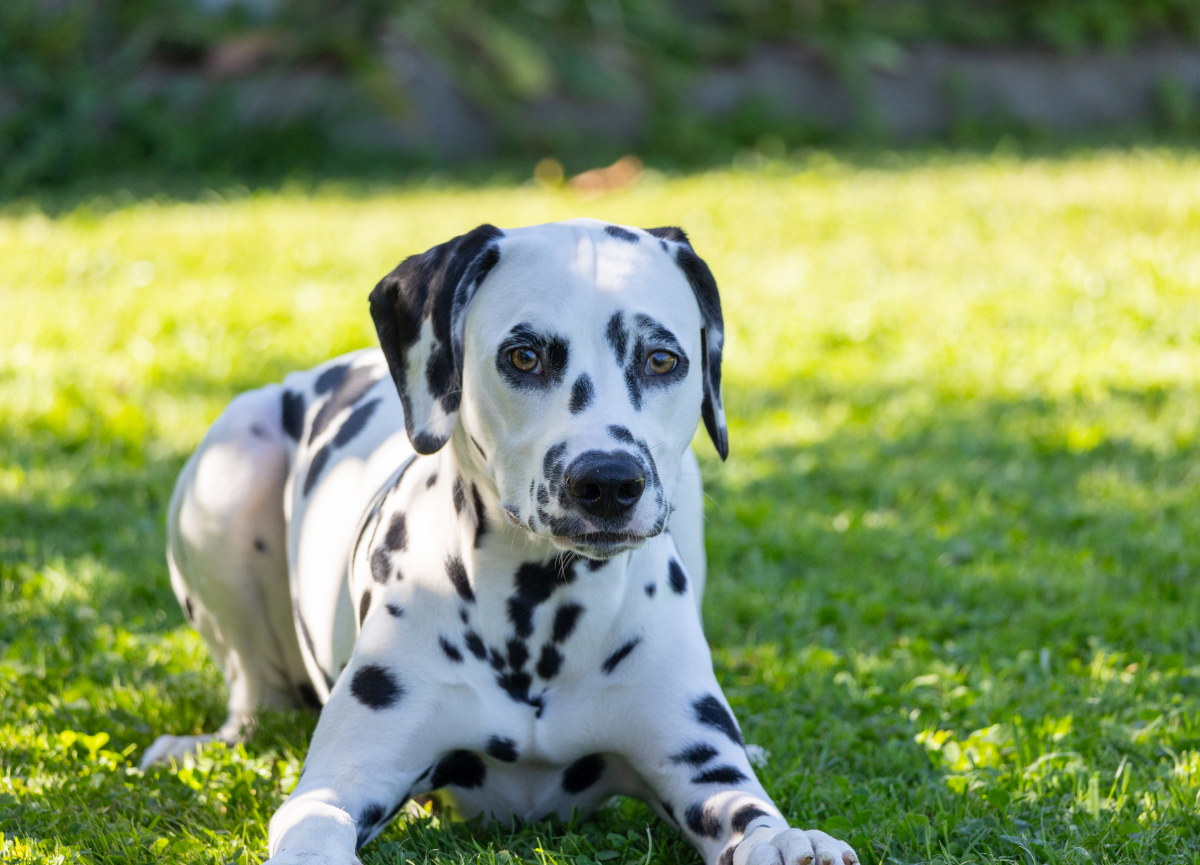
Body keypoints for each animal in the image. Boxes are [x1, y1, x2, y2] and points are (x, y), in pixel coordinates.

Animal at [145, 217, 859, 863]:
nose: (607, 481)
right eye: (525, 356)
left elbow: (755, 814)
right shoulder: (338, 783)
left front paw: (790, 840)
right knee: (253, 696)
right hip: (232, 464)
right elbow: (315, 826)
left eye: (662, 359)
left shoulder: (704, 774)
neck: (539, 617)